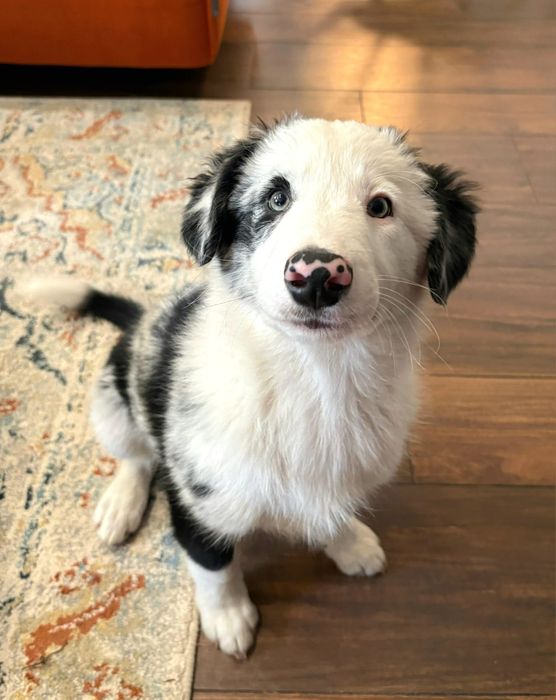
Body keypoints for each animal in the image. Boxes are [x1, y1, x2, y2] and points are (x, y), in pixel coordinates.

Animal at [25, 116, 478, 658]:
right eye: (276, 198)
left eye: (381, 206)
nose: (317, 276)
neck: (313, 378)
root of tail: (138, 320)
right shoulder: (198, 501)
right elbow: (213, 566)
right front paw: (228, 617)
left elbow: (331, 514)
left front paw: (350, 543)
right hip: (111, 401)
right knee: (135, 456)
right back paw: (121, 505)